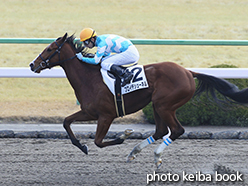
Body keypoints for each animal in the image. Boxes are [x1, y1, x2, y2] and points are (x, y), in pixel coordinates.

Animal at [29, 33, 248, 169]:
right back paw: (134, 152)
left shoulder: (105, 115)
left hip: (164, 105)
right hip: (157, 105)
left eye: (49, 49)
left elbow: (99, 141)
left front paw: (123, 136)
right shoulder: (89, 112)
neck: (89, 79)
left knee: (176, 130)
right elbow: (66, 122)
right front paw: (82, 146)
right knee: (160, 131)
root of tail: (188, 72)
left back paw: (156, 156)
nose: (32, 65)